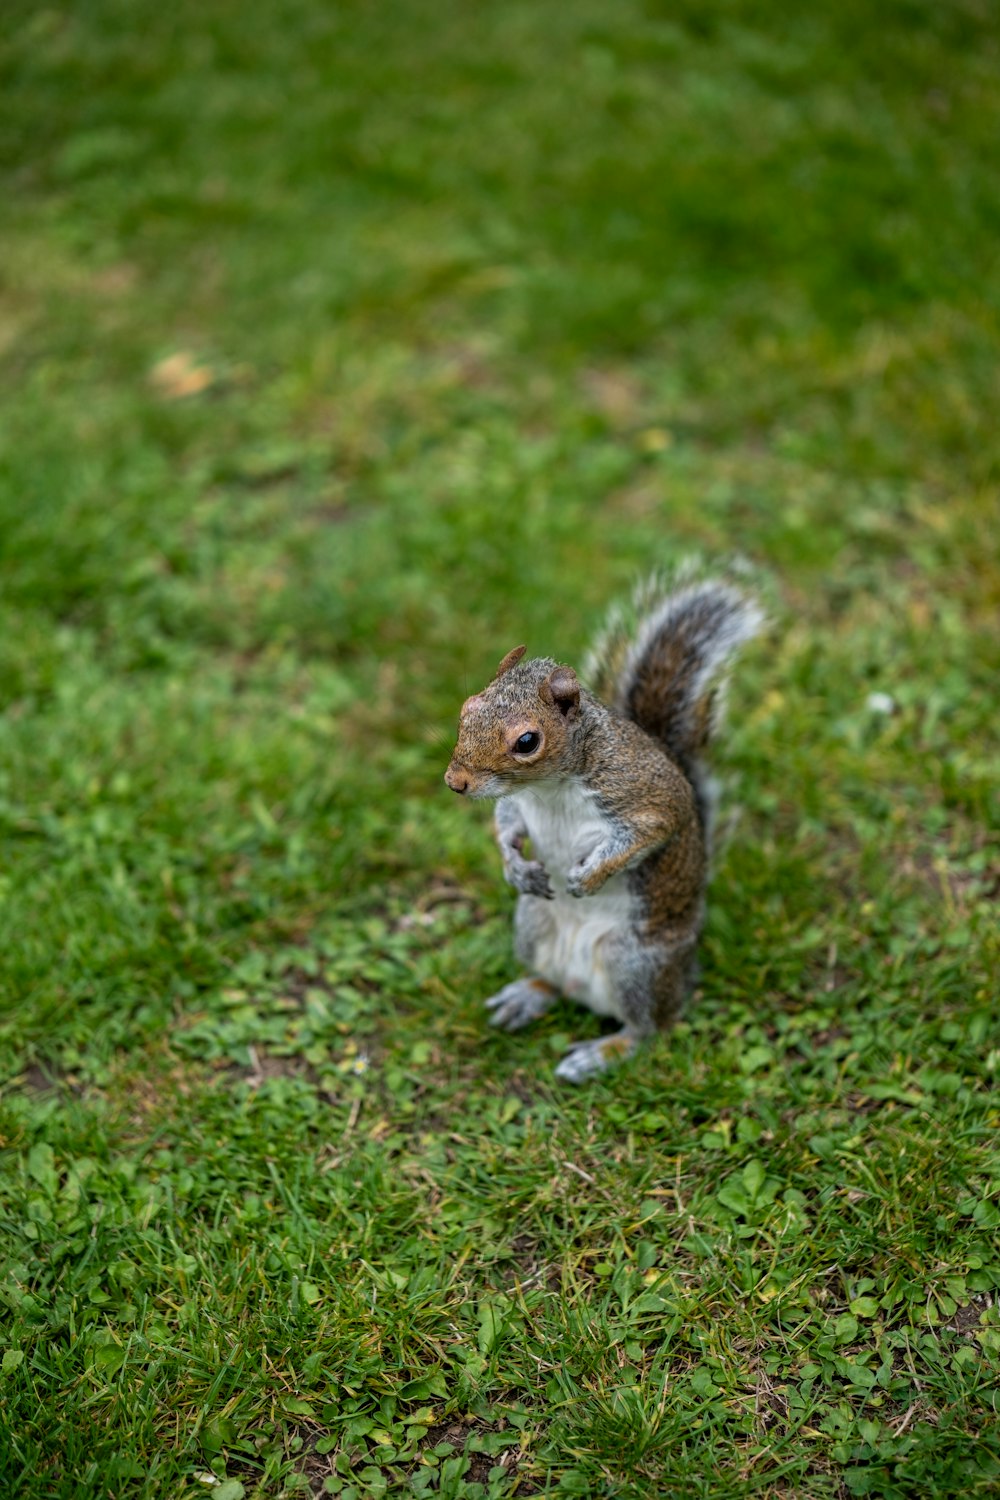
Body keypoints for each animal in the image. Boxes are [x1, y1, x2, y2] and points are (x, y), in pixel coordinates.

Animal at [440, 567, 761, 1086]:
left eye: (527, 741)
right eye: (467, 707)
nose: (456, 782)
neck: (551, 786)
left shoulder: (648, 797)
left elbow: (648, 833)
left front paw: (588, 877)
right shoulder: (519, 804)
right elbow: (507, 825)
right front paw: (515, 867)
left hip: (634, 964)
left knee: (649, 1029)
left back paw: (600, 1053)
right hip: (532, 924)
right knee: (553, 983)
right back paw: (527, 994)